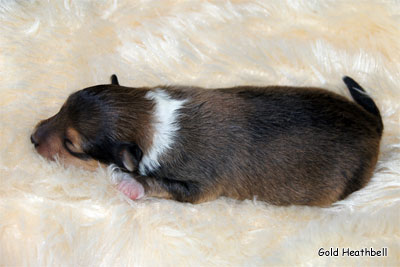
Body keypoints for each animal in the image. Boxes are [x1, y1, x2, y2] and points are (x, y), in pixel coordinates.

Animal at [30, 76, 382, 206]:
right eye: (63, 106)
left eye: (72, 146)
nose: (32, 138)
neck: (152, 120)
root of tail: (373, 125)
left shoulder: (202, 186)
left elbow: (162, 185)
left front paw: (129, 183)